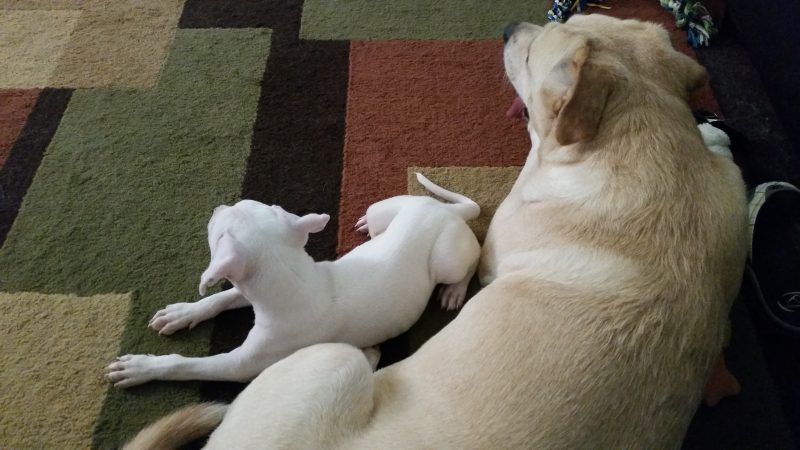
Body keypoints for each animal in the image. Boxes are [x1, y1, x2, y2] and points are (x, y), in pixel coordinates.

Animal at [106, 172, 482, 386]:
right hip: (383, 212)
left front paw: (142, 368)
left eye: (217, 230)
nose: (217, 207)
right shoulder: (249, 290)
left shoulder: (240, 366)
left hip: (447, 258)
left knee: (472, 257)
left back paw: (455, 290)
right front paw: (184, 313)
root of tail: (446, 211)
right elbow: (221, 298)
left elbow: (187, 366)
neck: (295, 279)